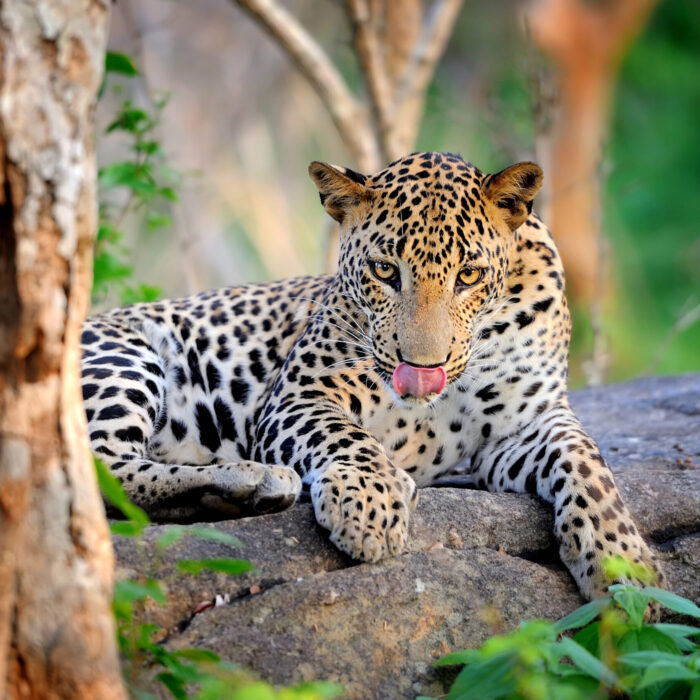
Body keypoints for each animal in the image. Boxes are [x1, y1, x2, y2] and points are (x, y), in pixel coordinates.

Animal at [81, 151, 664, 601]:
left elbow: (588, 462)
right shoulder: (300, 395)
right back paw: (250, 481)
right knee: (101, 470)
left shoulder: (526, 423)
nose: (423, 369)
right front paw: (370, 502)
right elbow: (347, 436)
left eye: (469, 275)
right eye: (385, 271)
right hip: (124, 355)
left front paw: (624, 563)